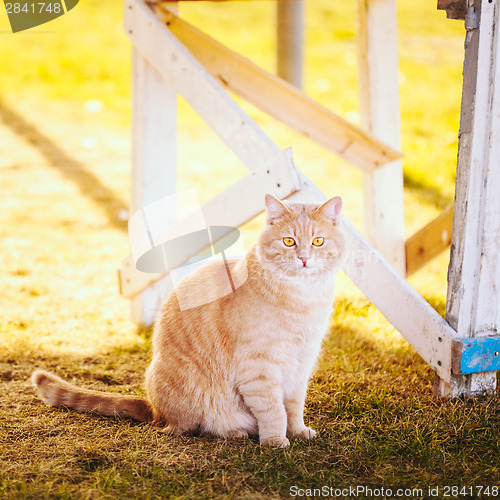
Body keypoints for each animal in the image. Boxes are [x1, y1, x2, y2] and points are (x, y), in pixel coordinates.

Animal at [31, 193, 344, 448]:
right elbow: (273, 410)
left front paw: (298, 431)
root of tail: (153, 409)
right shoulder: (258, 368)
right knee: (187, 428)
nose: (304, 259)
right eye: (289, 241)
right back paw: (235, 432)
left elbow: (293, 406)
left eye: (318, 241)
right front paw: (275, 441)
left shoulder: (301, 364)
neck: (304, 299)